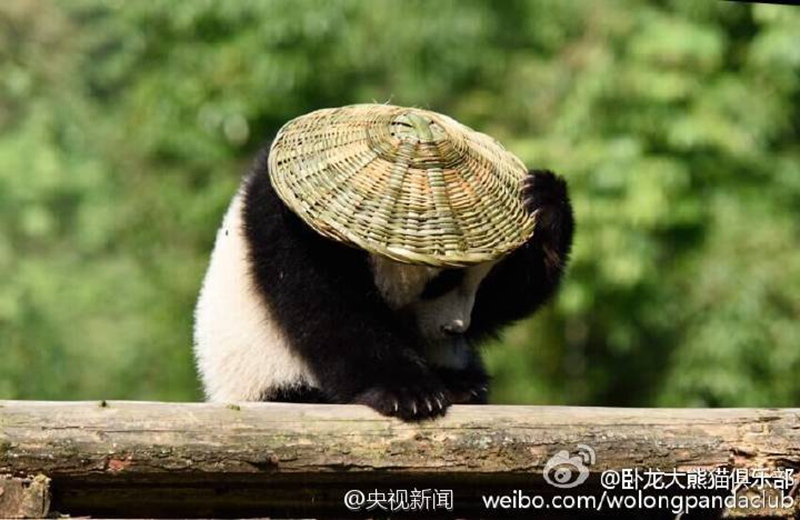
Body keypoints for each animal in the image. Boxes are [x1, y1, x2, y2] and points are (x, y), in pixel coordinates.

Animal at [194, 146, 574, 421]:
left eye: (480, 282)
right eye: (440, 283)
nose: (455, 328)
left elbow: (506, 298)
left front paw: (544, 203)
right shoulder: (295, 229)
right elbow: (332, 314)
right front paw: (411, 395)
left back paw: (463, 385)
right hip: (261, 372)